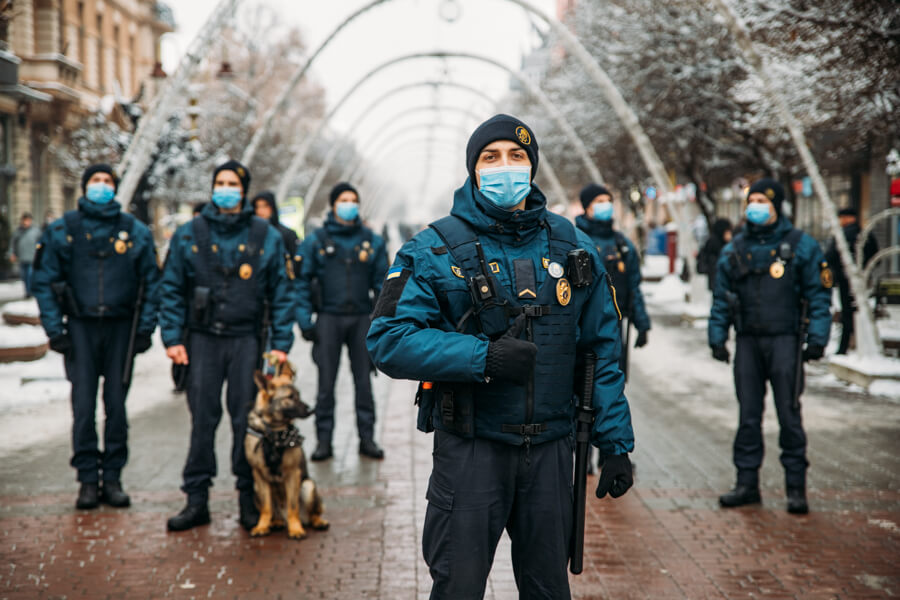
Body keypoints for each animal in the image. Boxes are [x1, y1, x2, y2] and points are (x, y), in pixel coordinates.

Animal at [244, 356, 328, 540]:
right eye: (290, 397)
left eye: (299, 395)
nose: (311, 410)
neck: (273, 433)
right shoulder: (258, 474)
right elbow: (266, 507)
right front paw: (261, 526)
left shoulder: (293, 473)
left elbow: (293, 506)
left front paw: (295, 529)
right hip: (256, 489)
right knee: (274, 510)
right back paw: (275, 522)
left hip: (308, 486)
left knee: (312, 512)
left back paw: (317, 522)